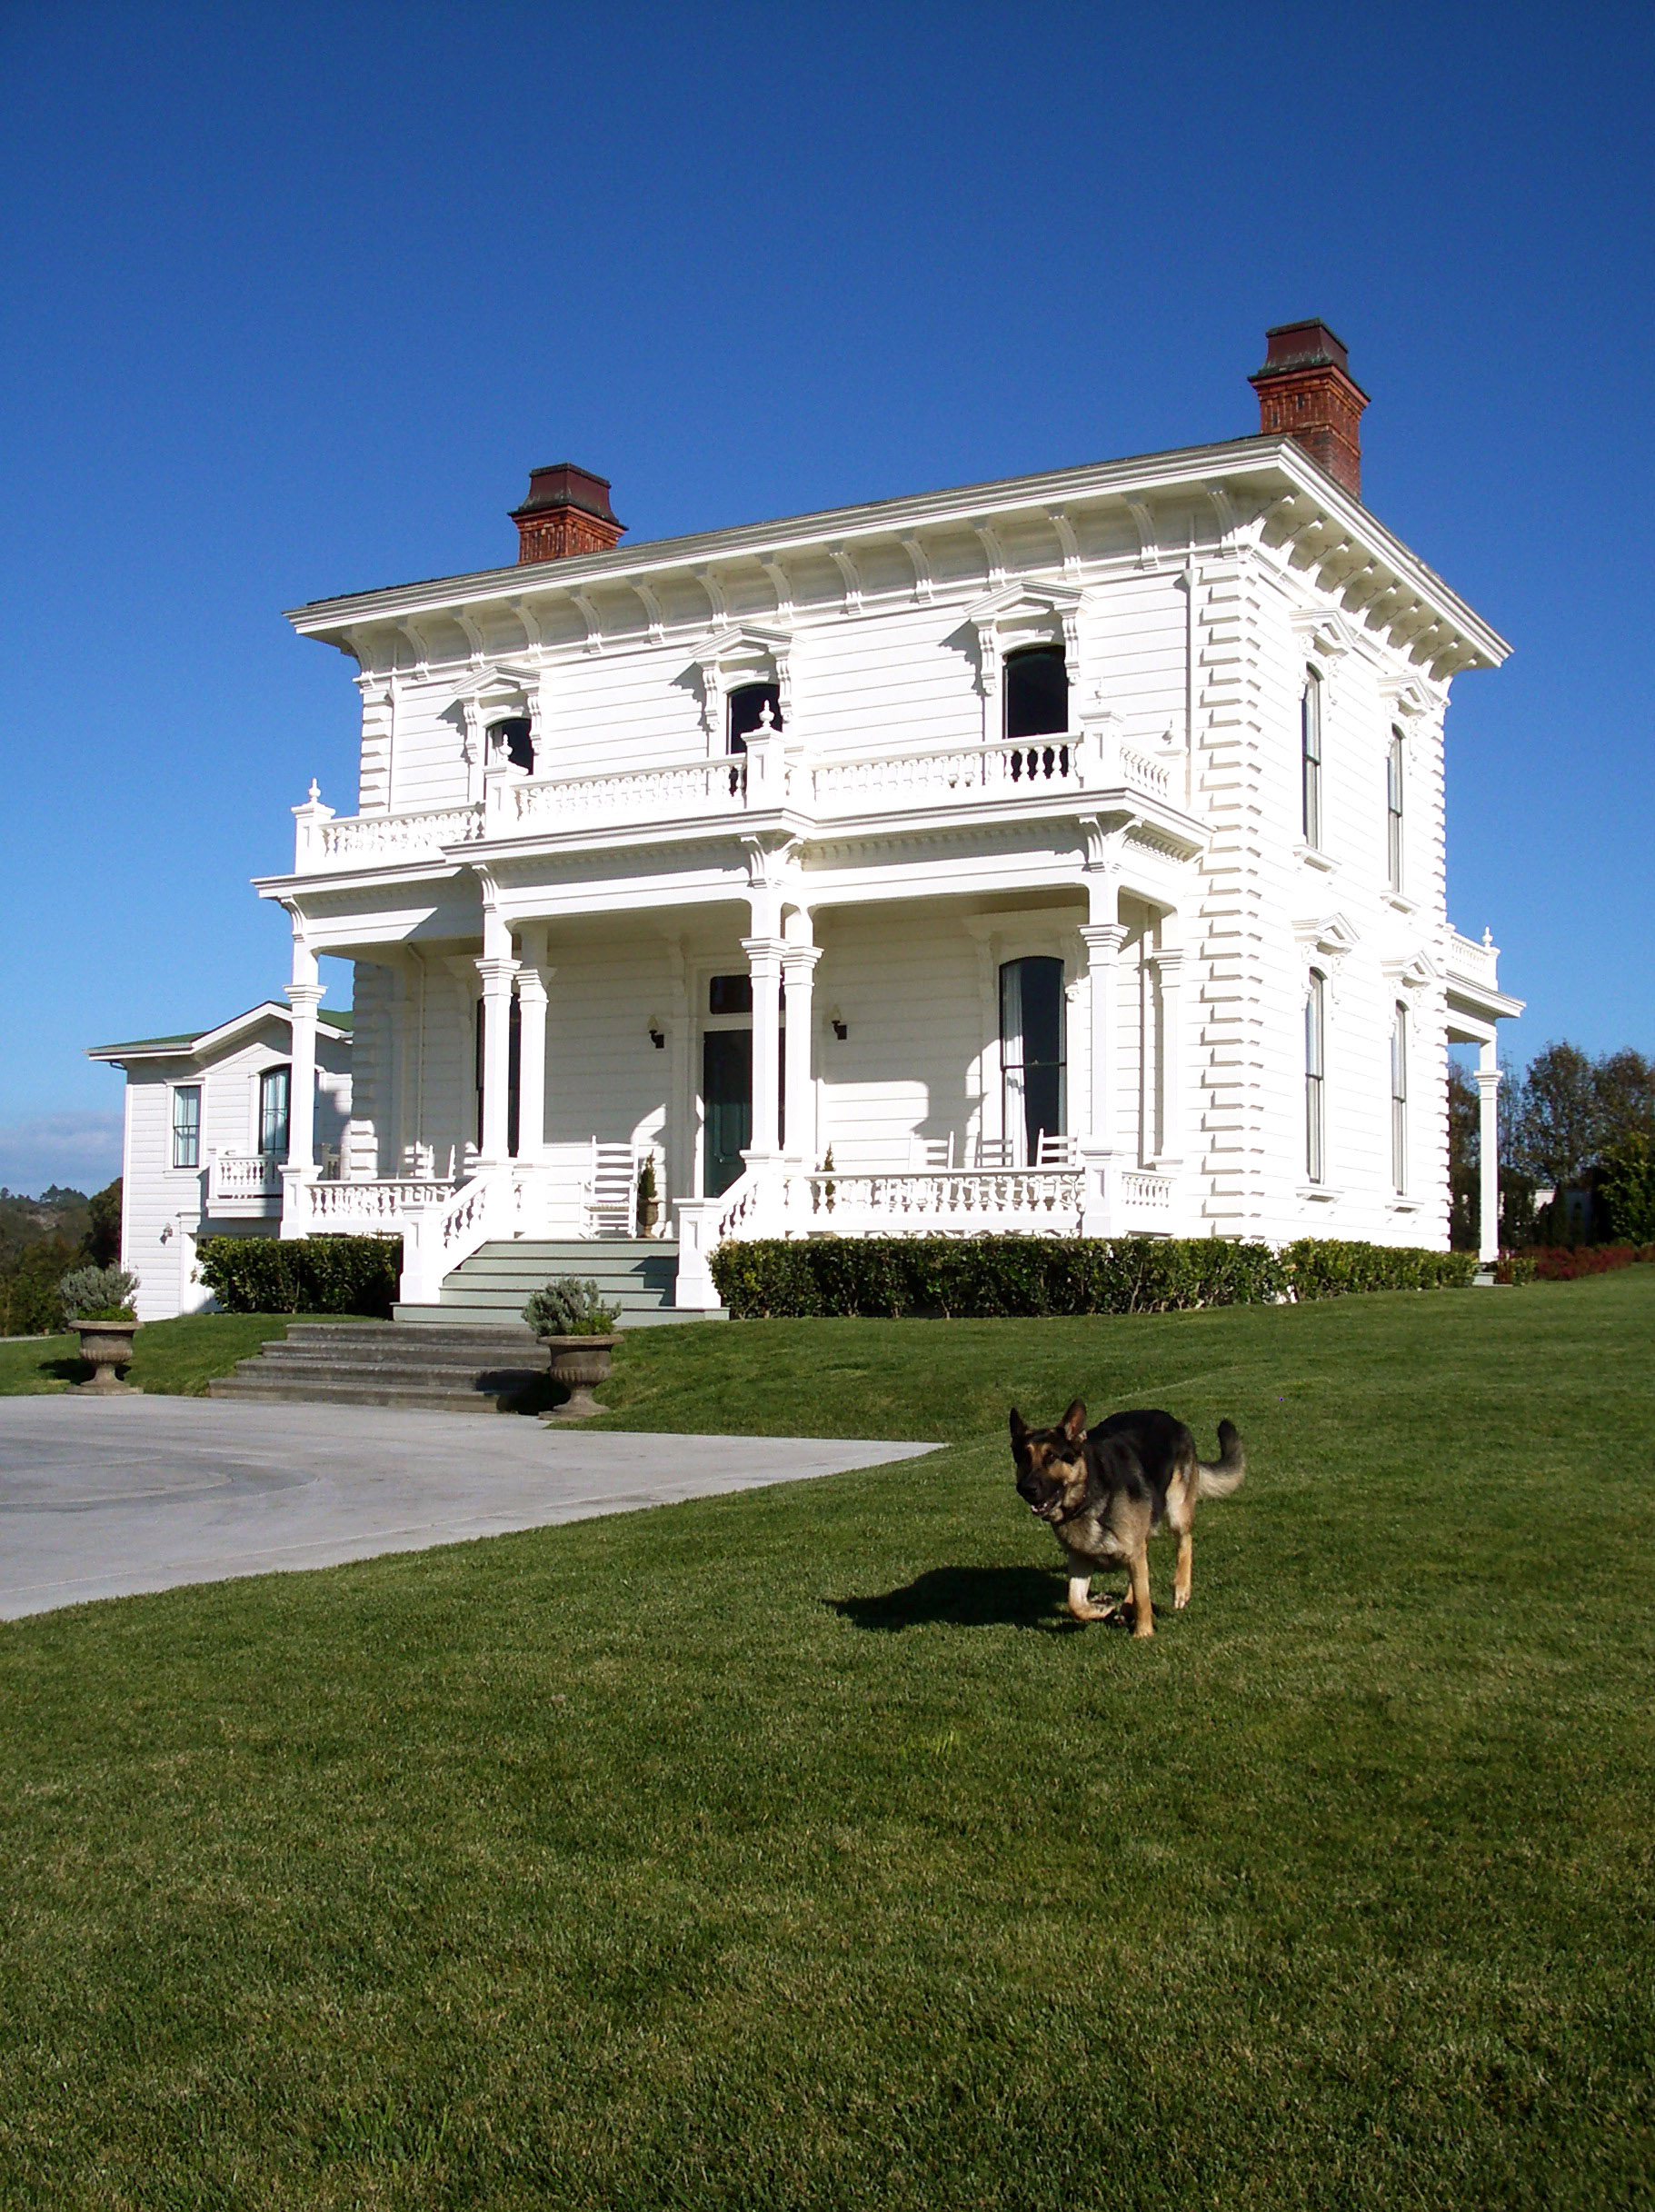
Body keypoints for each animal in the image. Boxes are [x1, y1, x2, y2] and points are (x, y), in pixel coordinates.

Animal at [1008, 1402, 1245, 1637]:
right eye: (1023, 1458)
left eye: (1051, 1457)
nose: (1026, 1489)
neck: (1089, 1494)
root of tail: (1173, 1420)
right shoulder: (1080, 1559)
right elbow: (1075, 1604)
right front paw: (1101, 1607)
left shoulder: (1132, 1551)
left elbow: (1143, 1598)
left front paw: (1143, 1634)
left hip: (1176, 1509)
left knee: (1185, 1541)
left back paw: (1181, 1589)